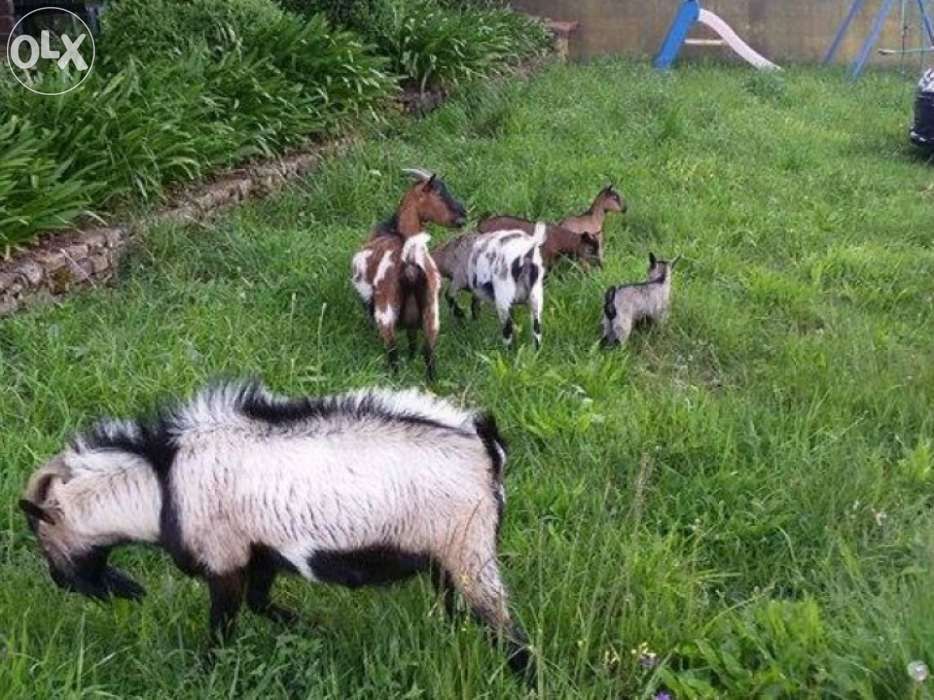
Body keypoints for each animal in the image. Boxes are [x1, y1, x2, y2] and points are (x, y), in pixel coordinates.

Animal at [18, 380, 534, 681]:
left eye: (44, 543)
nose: (64, 583)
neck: (162, 484)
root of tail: (485, 448)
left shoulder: (224, 559)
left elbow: (223, 625)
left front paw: (205, 675)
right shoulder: (260, 554)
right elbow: (261, 604)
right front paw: (319, 631)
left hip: (470, 551)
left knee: (509, 631)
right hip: (448, 556)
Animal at [352, 169, 467, 380]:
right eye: (439, 193)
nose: (463, 214)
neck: (396, 231)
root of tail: (410, 265)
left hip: (386, 311)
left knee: (393, 351)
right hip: (431, 313)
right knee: (428, 351)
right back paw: (431, 381)